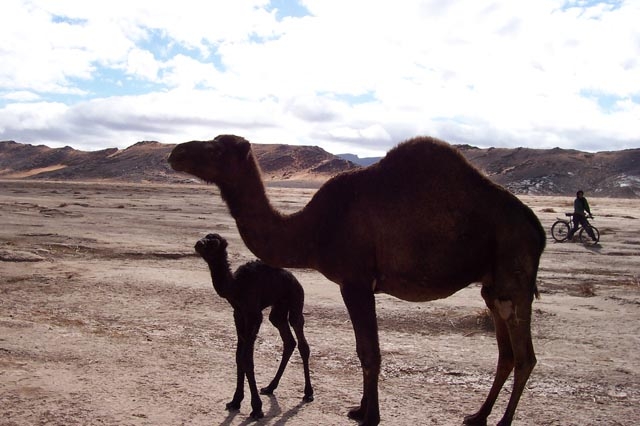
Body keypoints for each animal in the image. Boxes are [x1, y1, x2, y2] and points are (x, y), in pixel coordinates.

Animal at [195, 233, 316, 420]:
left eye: (213, 242)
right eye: (205, 237)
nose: (198, 243)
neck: (235, 287)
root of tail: (296, 280)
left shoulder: (253, 315)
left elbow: (247, 358)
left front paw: (257, 408)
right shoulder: (238, 314)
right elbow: (239, 356)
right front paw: (235, 401)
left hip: (296, 299)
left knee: (301, 339)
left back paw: (308, 393)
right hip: (279, 310)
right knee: (288, 339)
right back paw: (270, 387)